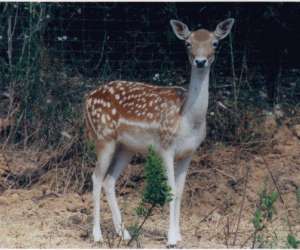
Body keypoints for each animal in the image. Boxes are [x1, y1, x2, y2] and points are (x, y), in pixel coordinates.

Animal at [84, 17, 234, 246]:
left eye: (215, 43)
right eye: (187, 43)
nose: (200, 61)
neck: (187, 120)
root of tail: (86, 99)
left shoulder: (189, 152)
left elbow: (180, 192)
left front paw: (179, 235)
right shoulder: (165, 147)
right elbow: (170, 190)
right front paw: (171, 238)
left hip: (126, 147)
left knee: (109, 180)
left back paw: (124, 233)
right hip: (103, 137)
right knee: (96, 177)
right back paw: (98, 235)